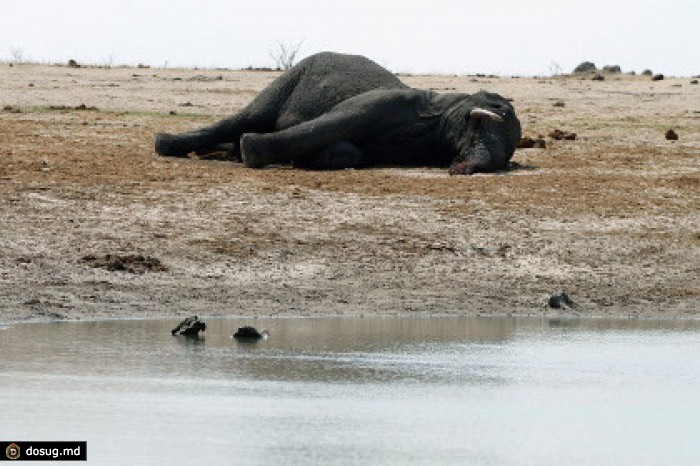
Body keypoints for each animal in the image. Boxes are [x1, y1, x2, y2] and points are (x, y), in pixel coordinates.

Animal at [157, 51, 520, 175]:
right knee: (243, 119)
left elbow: (347, 149)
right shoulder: (385, 100)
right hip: (291, 76)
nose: (457, 170)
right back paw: (167, 143)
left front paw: (304, 160)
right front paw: (252, 151)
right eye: (484, 118)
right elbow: (335, 122)